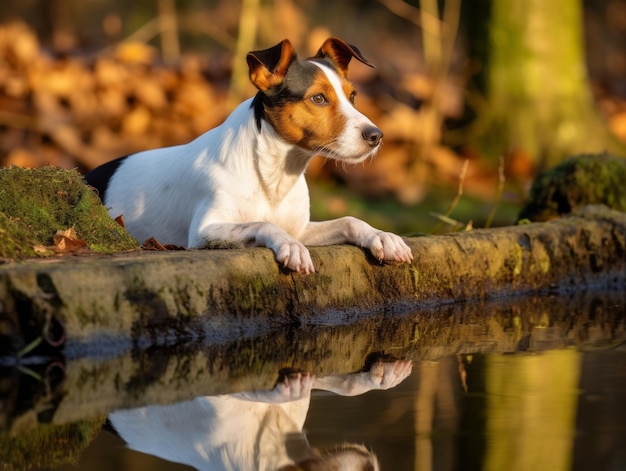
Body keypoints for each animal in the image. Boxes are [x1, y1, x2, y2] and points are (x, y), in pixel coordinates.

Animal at [85, 38, 412, 274]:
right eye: (318, 98)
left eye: (353, 96)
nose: (376, 136)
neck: (274, 173)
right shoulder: (204, 232)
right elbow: (263, 224)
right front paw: (290, 247)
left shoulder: (301, 228)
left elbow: (349, 220)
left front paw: (381, 236)